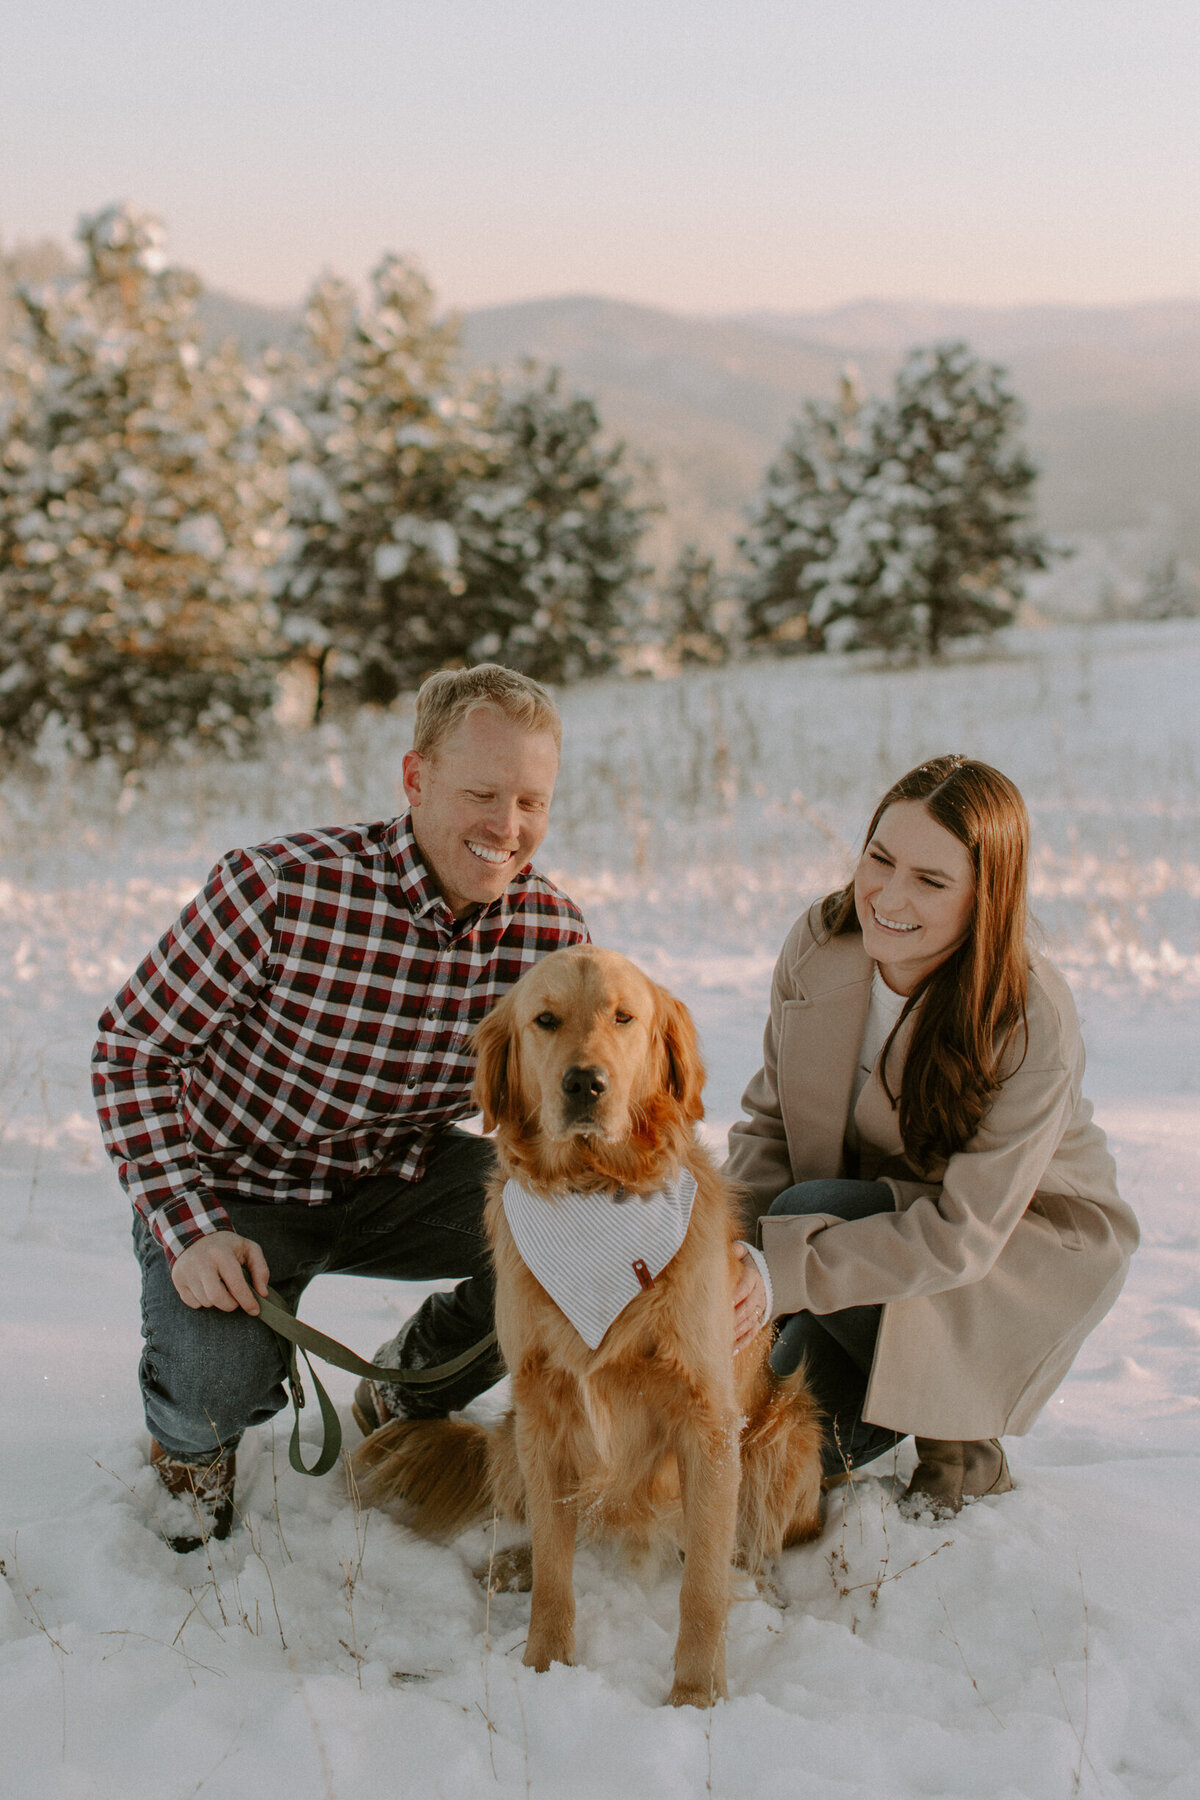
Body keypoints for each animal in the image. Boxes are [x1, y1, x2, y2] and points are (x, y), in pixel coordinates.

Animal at [354, 950, 827, 1706]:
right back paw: (512, 1562)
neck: (594, 1193)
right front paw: (544, 1665)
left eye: (624, 1018)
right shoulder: (543, 1410)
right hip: (515, 1432)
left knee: (744, 1543)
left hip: (787, 1435)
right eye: (545, 1020)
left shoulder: (706, 1418)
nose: (585, 1082)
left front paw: (696, 1696)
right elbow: (557, 1565)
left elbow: (701, 1587)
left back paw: (755, 1584)